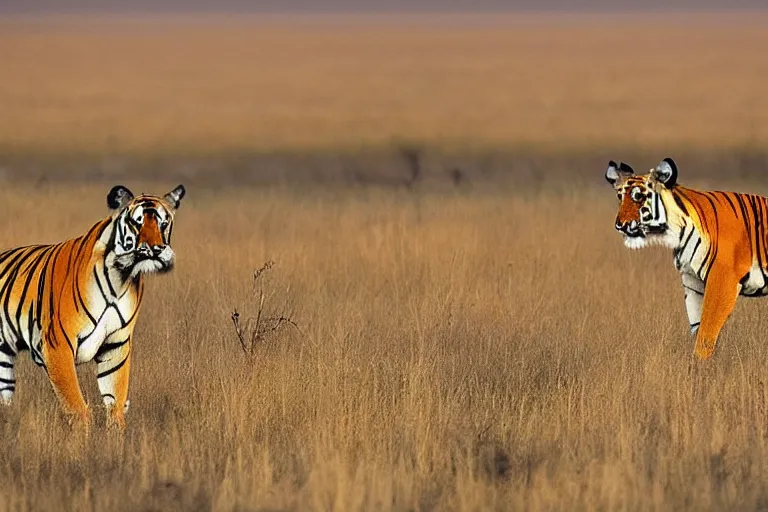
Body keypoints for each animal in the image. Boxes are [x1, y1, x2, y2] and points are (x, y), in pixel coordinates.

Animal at [0, 182, 185, 430]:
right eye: (137, 222)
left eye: (163, 223)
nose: (156, 249)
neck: (120, 278)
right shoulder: (58, 344)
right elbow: (77, 407)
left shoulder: (116, 344)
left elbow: (115, 402)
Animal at [608, 158, 768, 362]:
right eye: (620, 197)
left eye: (639, 197)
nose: (619, 225)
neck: (677, 232)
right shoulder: (693, 284)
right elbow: (698, 326)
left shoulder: (723, 282)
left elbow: (706, 333)